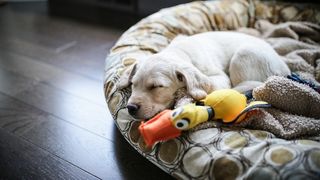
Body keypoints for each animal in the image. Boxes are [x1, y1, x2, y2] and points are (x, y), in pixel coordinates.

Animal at [119, 31, 292, 120]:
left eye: (156, 86)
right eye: (133, 84)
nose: (130, 108)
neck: (180, 51)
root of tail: (285, 70)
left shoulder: (220, 77)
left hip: (243, 54)